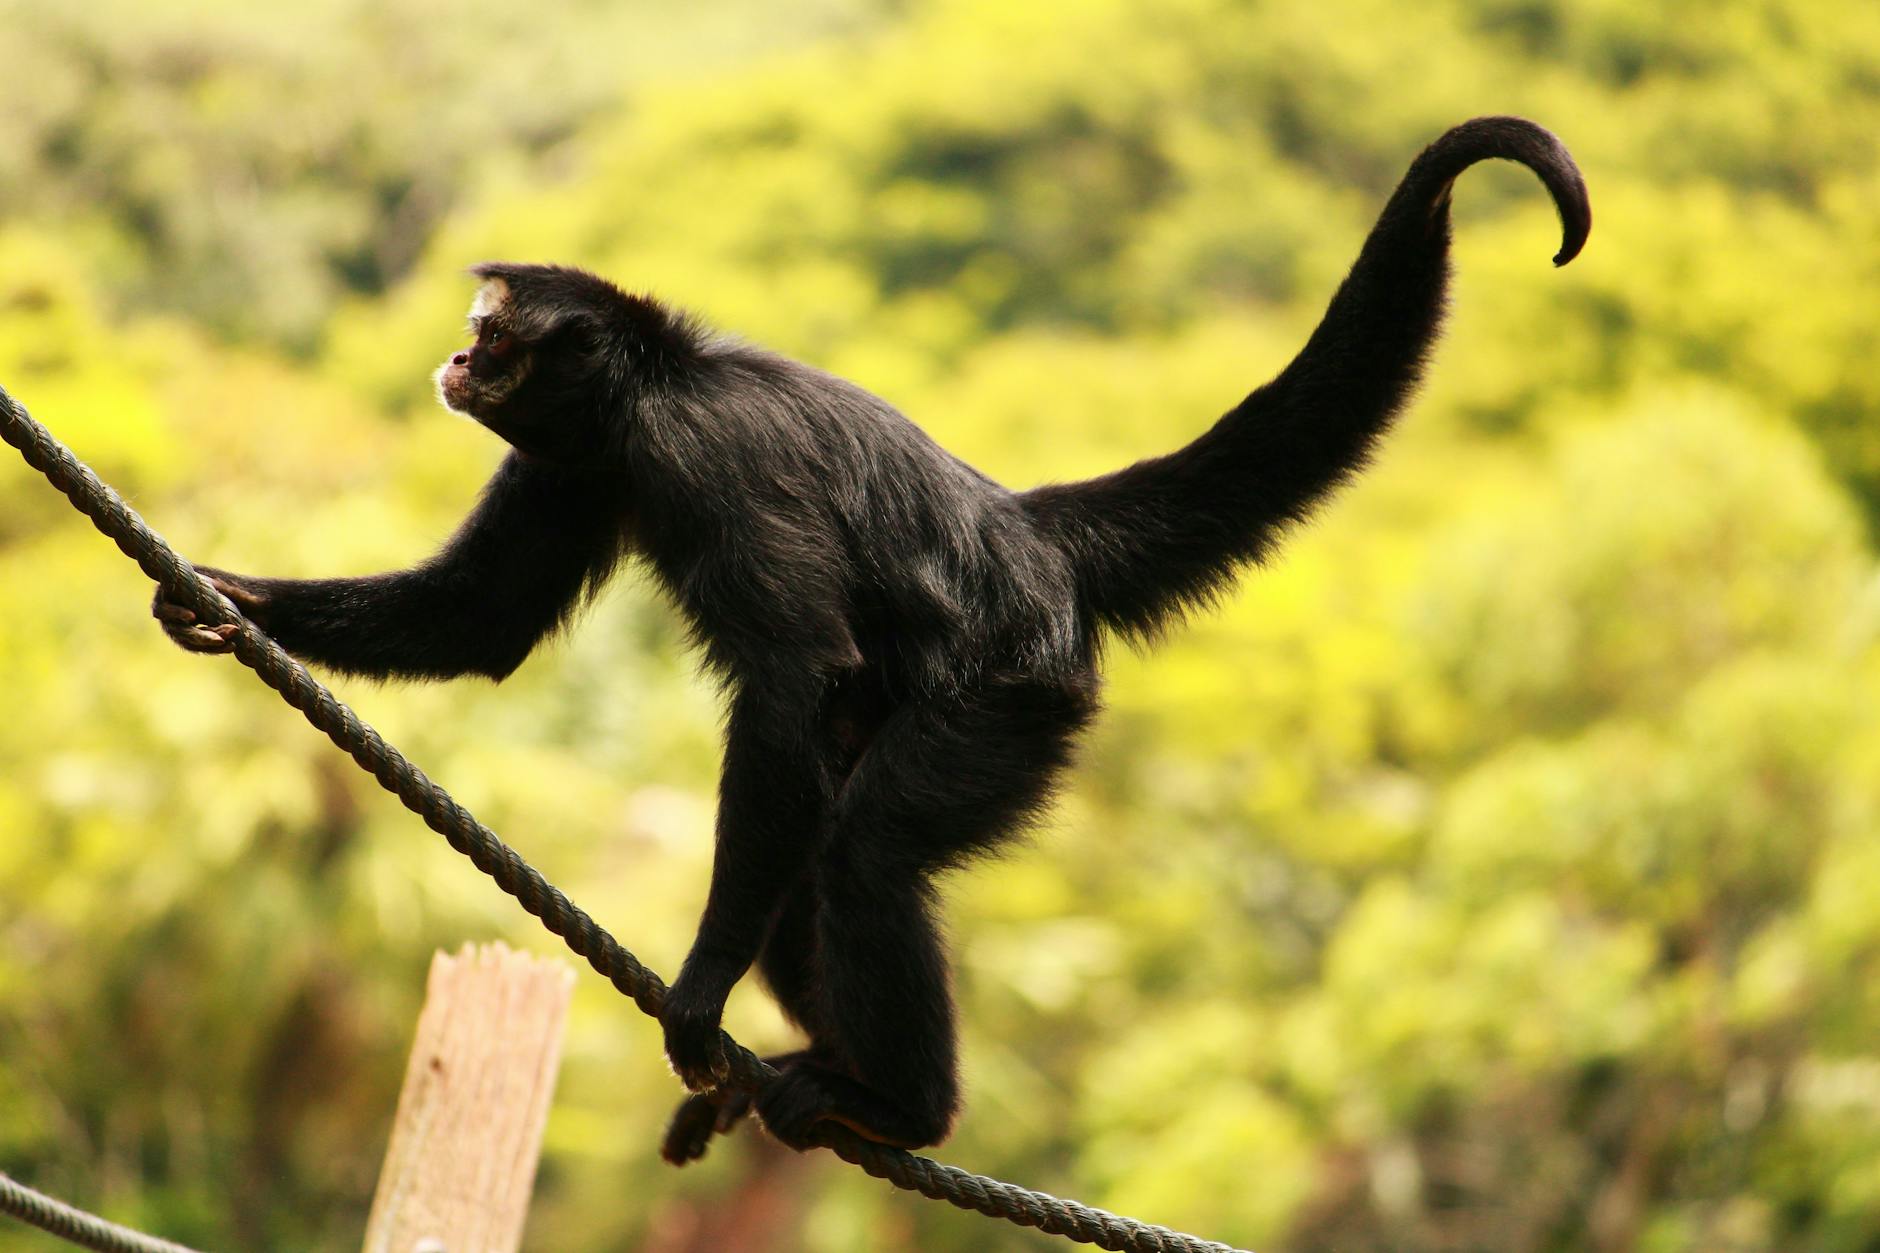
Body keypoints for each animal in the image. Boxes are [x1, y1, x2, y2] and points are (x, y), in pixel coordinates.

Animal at [153, 116, 1589, 1162]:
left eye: (493, 331)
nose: (457, 359)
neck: (659, 388)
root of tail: (1023, 532)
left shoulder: (703, 454)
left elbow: (794, 674)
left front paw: (701, 988)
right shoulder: (586, 462)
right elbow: (482, 618)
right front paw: (222, 600)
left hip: (1010, 699)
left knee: (861, 851)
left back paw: (899, 1106)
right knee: (814, 863)